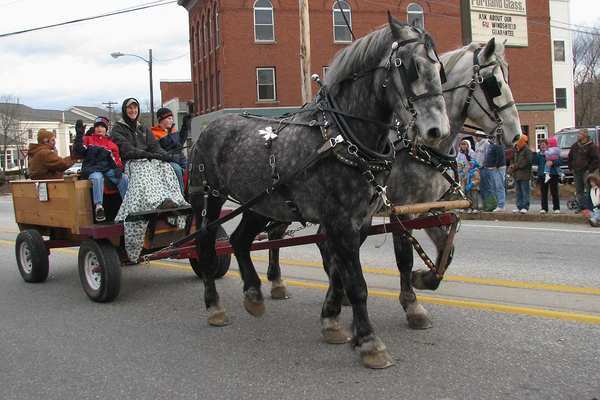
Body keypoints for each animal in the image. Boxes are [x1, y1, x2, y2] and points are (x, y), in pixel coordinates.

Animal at [189, 18, 450, 368]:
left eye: (439, 69)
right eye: (410, 68)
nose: (438, 131)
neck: (343, 137)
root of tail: (208, 129)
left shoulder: (359, 221)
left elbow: (340, 273)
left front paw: (334, 323)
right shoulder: (340, 221)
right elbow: (356, 284)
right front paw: (370, 342)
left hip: (261, 203)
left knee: (239, 240)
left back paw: (254, 295)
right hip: (209, 196)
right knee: (205, 244)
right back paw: (214, 306)